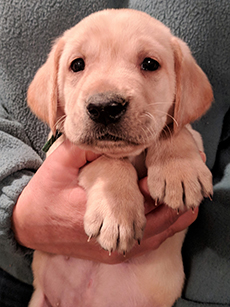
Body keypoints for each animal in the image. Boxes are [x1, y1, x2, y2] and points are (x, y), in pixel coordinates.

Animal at [26, 9, 212, 307]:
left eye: (150, 63)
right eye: (77, 65)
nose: (104, 107)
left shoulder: (188, 131)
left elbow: (175, 129)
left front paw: (180, 173)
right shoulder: (62, 144)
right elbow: (108, 161)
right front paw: (117, 213)